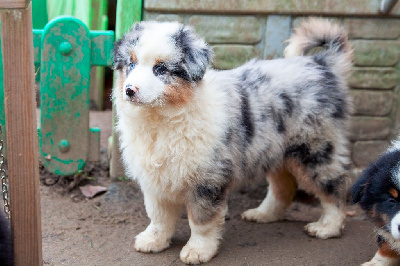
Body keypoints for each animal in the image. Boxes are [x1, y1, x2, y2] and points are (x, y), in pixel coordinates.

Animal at [113, 18, 354, 264]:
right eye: (131, 64)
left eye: (160, 68)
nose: (129, 90)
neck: (161, 119)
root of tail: (321, 64)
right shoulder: (156, 178)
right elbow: (158, 216)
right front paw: (153, 241)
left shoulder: (207, 179)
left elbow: (201, 221)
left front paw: (198, 251)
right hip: (276, 150)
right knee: (283, 188)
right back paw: (263, 214)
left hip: (316, 150)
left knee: (335, 186)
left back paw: (327, 228)